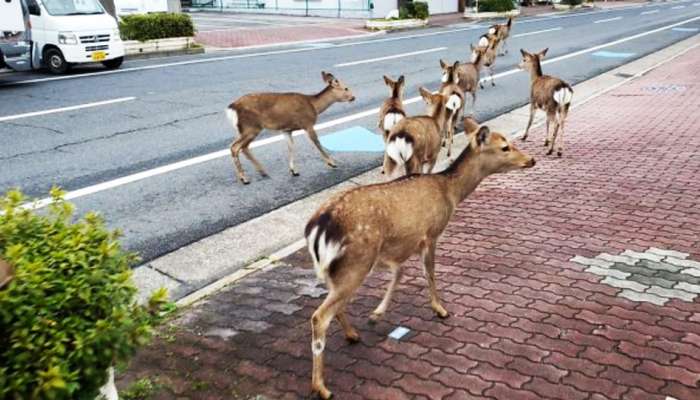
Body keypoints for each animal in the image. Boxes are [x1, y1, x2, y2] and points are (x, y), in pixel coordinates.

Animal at [226, 71, 356, 184]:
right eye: (346, 88)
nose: (353, 97)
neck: (313, 106)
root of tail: (232, 107)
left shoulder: (286, 130)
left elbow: (291, 147)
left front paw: (294, 171)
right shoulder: (307, 123)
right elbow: (316, 142)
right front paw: (332, 163)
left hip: (247, 129)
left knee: (244, 147)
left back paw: (263, 172)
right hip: (251, 127)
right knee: (235, 147)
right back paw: (244, 178)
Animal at [304, 117, 540, 398]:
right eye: (504, 147)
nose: (531, 160)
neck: (450, 192)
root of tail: (317, 228)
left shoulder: (401, 243)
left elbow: (399, 273)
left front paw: (377, 313)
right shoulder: (431, 233)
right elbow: (430, 272)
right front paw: (440, 309)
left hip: (338, 269)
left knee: (335, 306)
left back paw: (353, 335)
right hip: (356, 263)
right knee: (320, 316)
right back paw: (321, 387)